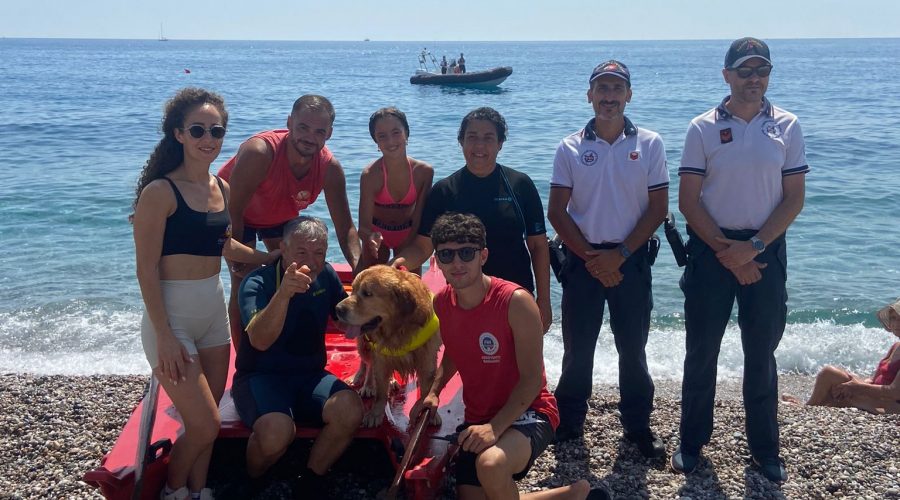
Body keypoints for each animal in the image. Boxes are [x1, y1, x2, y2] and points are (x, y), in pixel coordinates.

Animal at [336, 266, 442, 426]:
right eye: (353, 289)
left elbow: (427, 388)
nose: (337, 309)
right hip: (364, 345)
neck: (398, 328)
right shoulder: (380, 357)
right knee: (367, 364)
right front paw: (375, 413)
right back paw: (366, 383)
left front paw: (429, 411)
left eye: (367, 293)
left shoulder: (427, 357)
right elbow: (380, 390)